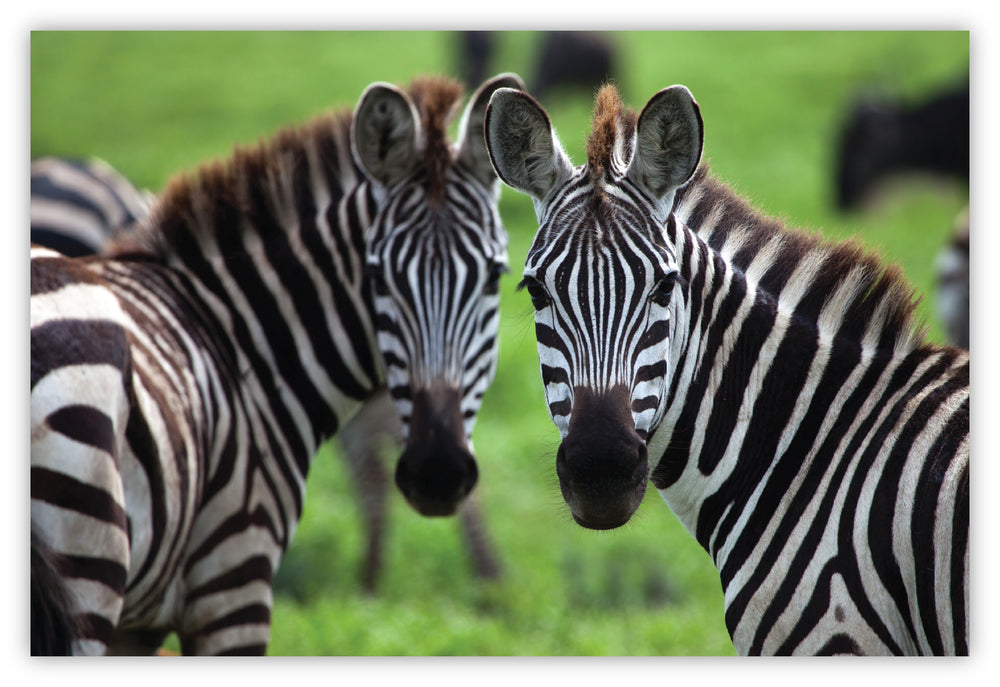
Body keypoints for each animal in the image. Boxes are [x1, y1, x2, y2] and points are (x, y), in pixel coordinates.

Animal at [30, 71, 524, 655]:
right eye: (376, 277)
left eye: (493, 277)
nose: (438, 474)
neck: (236, 337)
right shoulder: (234, 576)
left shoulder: (142, 625)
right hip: (89, 564)